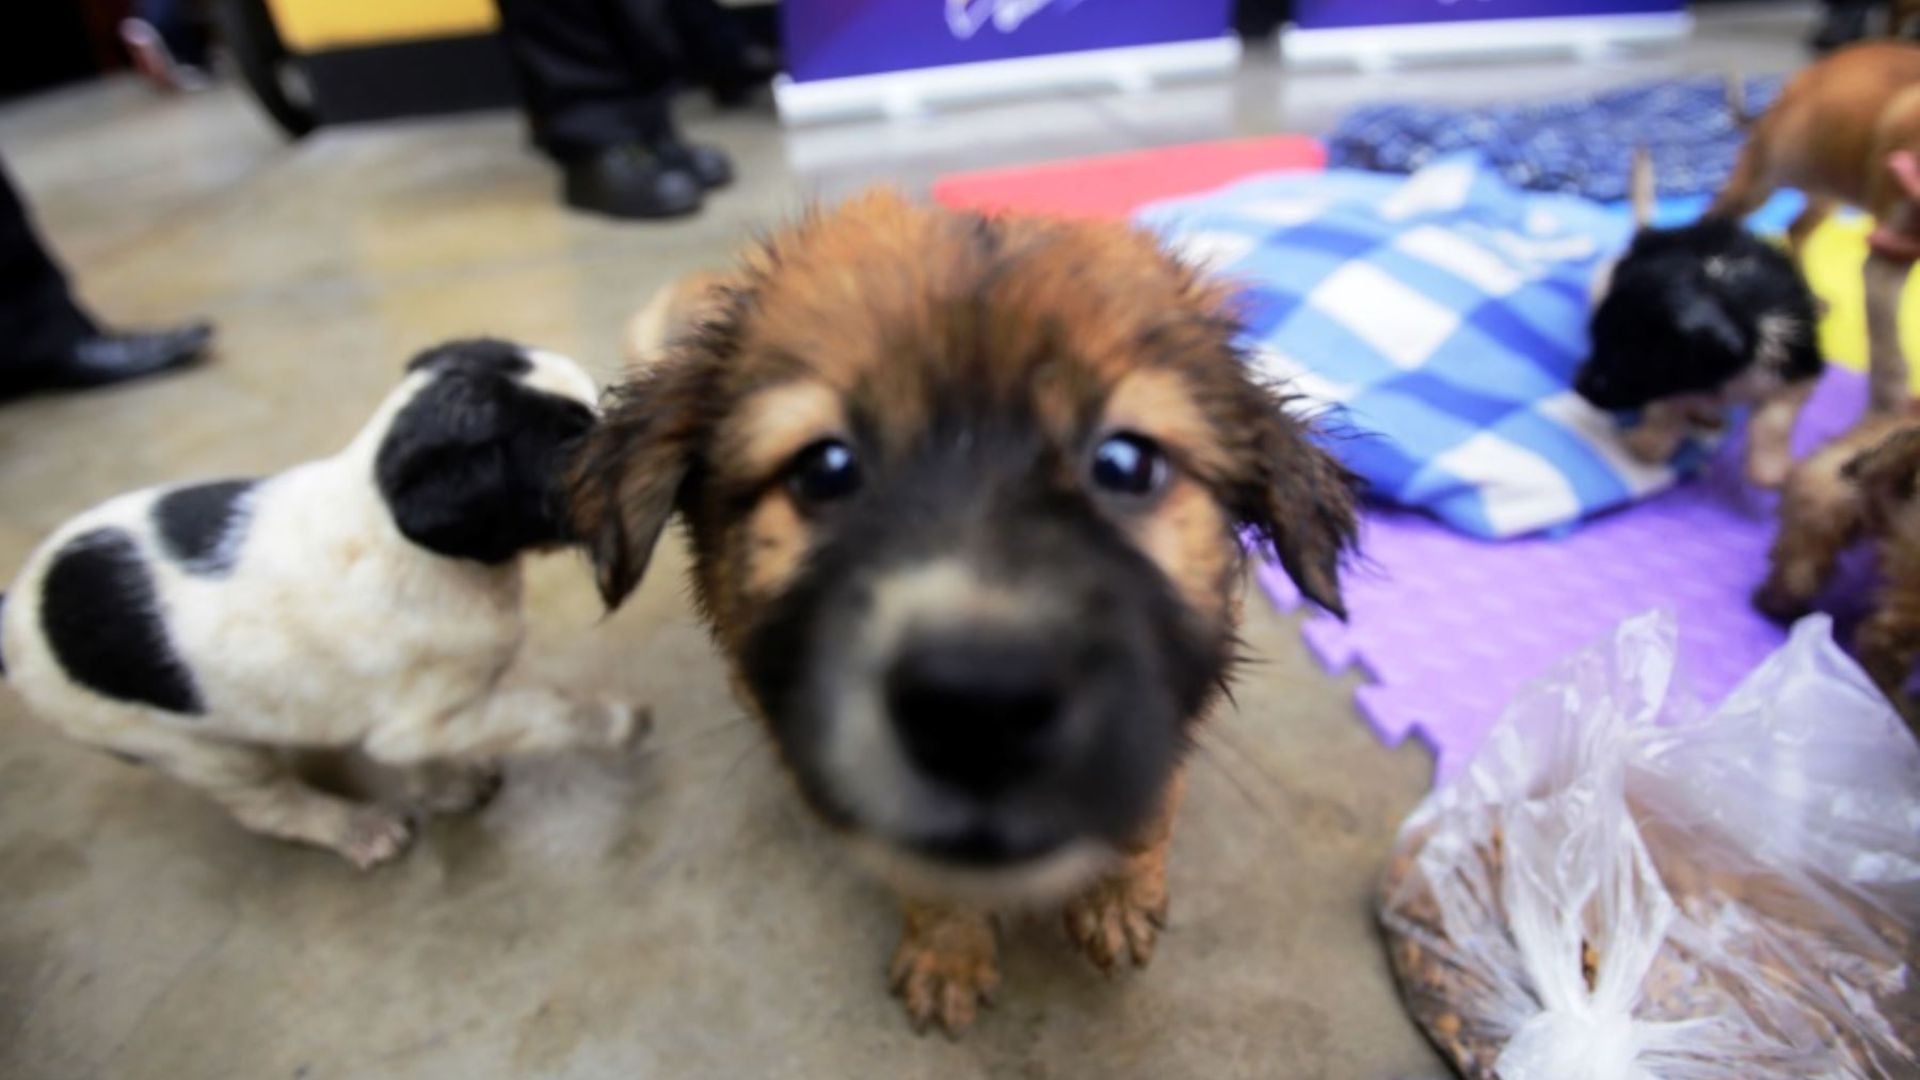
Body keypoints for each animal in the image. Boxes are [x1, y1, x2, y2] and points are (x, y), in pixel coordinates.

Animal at [0, 336, 645, 864]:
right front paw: (620, 724)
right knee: (268, 805)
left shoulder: (422, 720)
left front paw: (446, 788)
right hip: (189, 747)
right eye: (573, 448)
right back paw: (354, 829)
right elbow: (550, 712)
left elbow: (429, 755)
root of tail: (17, 604)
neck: (394, 530)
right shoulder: (425, 716)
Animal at [560, 189, 1359, 1030]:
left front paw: (1117, 898)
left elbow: (1150, 806)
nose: (984, 708)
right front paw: (949, 953)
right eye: (824, 468)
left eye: (1127, 464)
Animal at [1712, 42, 1920, 413]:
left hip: (1827, 189)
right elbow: (1887, 343)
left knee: (1796, 229)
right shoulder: (1887, 257)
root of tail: (1787, 92)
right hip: (1760, 179)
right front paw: (1891, 400)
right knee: (1716, 211)